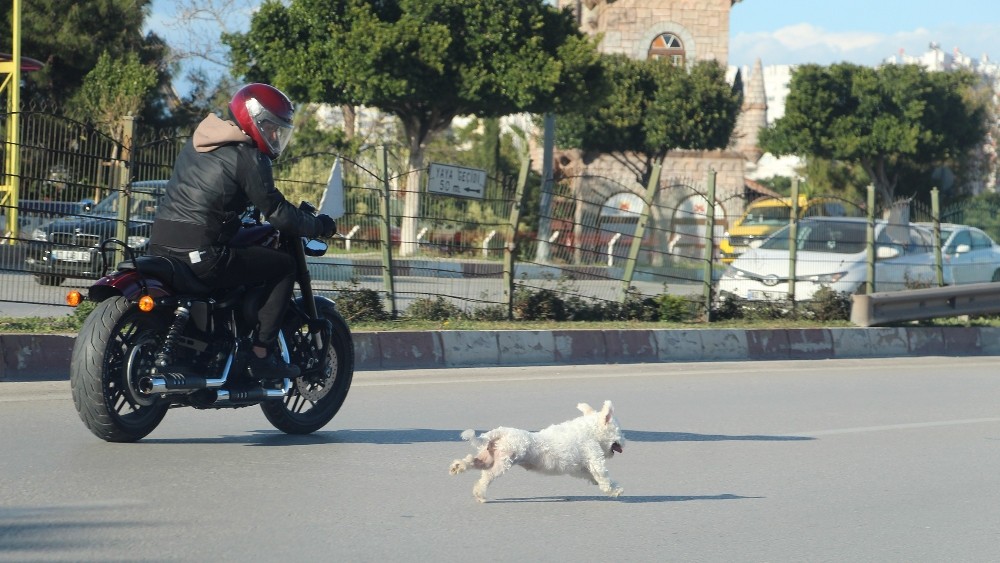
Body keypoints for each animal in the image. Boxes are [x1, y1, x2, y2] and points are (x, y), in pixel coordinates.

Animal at [452, 400, 624, 502]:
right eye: (619, 430)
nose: (624, 441)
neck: (590, 430)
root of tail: (500, 432)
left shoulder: (579, 468)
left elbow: (591, 475)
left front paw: (598, 483)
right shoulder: (594, 459)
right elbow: (604, 477)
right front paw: (615, 490)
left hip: (488, 457)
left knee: (472, 461)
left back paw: (457, 467)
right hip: (502, 463)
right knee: (487, 476)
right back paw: (479, 494)